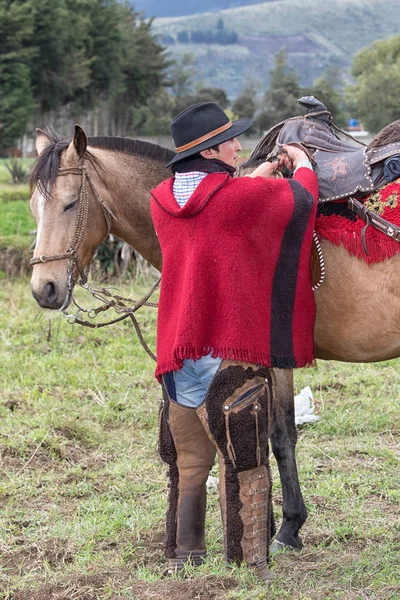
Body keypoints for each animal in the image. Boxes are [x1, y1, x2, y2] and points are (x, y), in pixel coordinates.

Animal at [28, 124, 400, 556]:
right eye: (35, 208)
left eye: (70, 204)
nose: (44, 289)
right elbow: (266, 433)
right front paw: (273, 523)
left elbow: (277, 436)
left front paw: (286, 528)